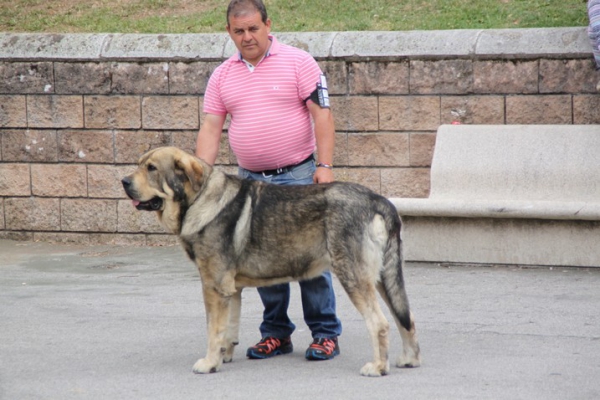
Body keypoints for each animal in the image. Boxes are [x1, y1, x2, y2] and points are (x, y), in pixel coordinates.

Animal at [120, 148, 422, 378]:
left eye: (151, 168)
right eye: (140, 164)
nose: (123, 181)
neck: (198, 199)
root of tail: (379, 201)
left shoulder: (213, 287)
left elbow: (212, 330)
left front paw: (208, 363)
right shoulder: (232, 290)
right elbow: (228, 329)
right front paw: (223, 357)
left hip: (354, 277)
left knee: (379, 323)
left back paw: (378, 367)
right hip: (384, 278)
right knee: (405, 317)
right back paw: (409, 359)